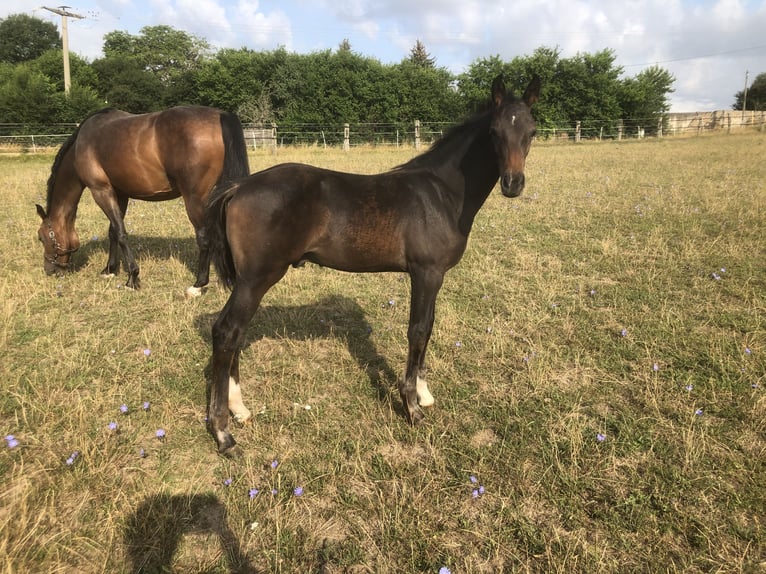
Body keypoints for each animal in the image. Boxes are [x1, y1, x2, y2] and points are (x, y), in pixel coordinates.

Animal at [34, 106, 250, 296]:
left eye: (42, 237)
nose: (50, 270)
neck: (83, 142)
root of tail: (220, 116)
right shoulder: (119, 194)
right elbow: (113, 231)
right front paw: (109, 269)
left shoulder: (101, 190)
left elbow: (121, 233)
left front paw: (132, 278)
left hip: (195, 198)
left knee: (205, 236)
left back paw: (198, 284)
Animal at [204, 76, 540, 456]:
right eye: (494, 132)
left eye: (531, 130)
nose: (513, 184)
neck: (442, 195)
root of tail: (238, 187)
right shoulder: (425, 273)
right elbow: (417, 331)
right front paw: (411, 408)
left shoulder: (435, 276)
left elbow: (429, 328)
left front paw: (424, 394)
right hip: (257, 278)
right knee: (226, 332)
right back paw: (223, 433)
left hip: (250, 281)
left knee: (236, 335)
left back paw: (239, 409)